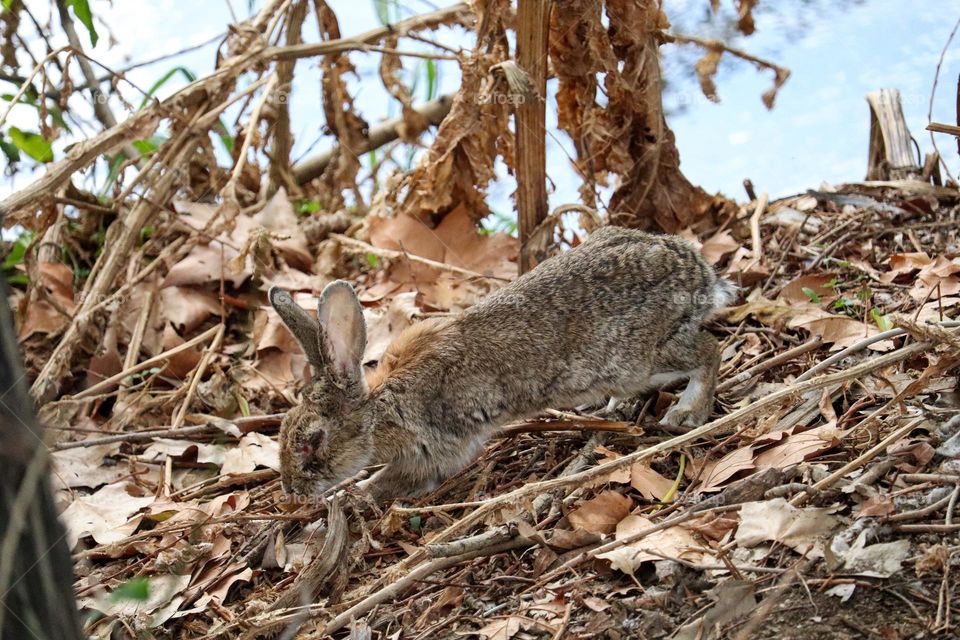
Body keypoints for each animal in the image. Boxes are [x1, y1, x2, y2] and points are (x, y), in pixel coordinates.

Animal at [270, 225, 736, 500]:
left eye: (313, 440)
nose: (292, 491)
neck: (379, 410)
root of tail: (697, 272)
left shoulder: (435, 451)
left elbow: (395, 480)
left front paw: (354, 496)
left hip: (642, 356)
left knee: (709, 350)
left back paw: (688, 413)